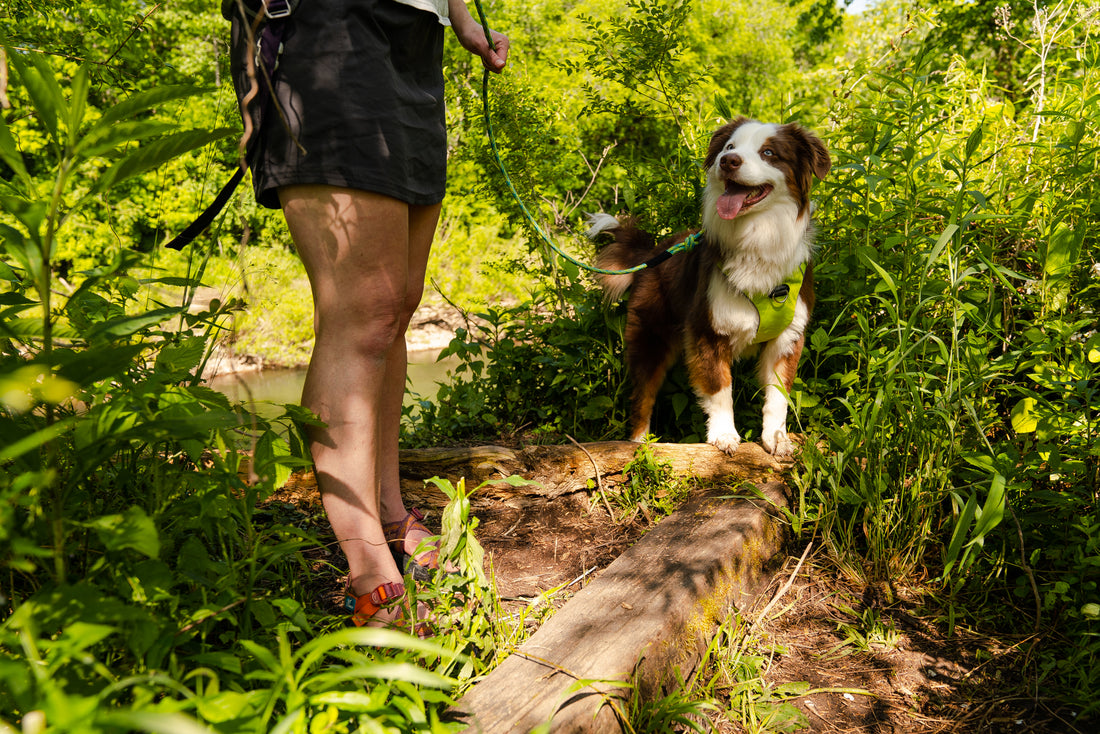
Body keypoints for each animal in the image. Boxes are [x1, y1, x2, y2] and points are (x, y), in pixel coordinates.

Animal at [589, 117, 827, 455]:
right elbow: (719, 388)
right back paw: (639, 446)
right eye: (730, 147)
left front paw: (777, 438)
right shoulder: (709, 330)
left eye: (768, 152)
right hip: (650, 335)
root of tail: (653, 253)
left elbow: (778, 395)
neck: (757, 239)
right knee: (642, 396)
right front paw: (724, 434)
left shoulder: (788, 337)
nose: (728, 161)